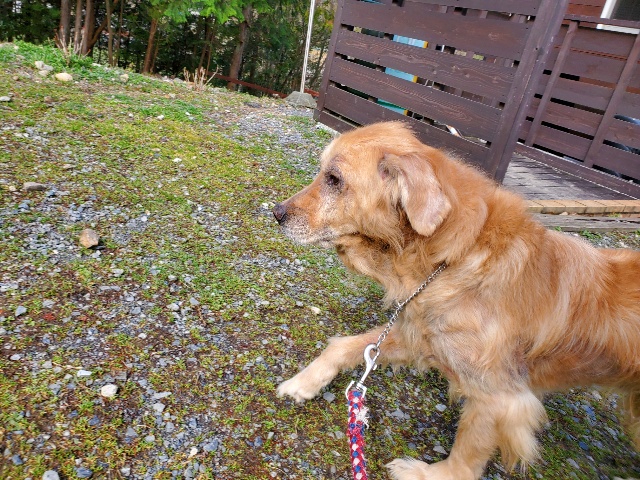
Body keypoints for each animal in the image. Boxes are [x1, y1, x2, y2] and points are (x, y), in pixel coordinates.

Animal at [272, 121, 640, 480]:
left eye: (334, 179)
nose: (276, 212)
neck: (452, 256)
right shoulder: (424, 336)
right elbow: (343, 347)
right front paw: (303, 382)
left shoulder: (500, 398)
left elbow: (465, 460)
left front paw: (425, 472)